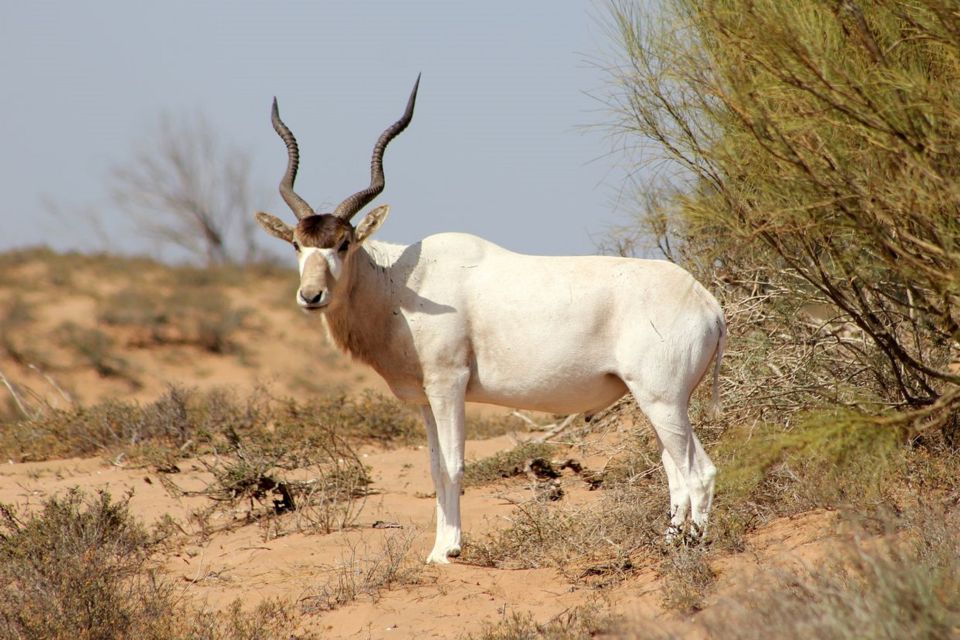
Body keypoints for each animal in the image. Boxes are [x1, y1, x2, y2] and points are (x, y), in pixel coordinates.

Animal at [255, 77, 728, 564]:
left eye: (345, 243)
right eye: (297, 244)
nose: (311, 295)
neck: (402, 282)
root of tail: (707, 302)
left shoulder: (449, 385)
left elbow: (453, 464)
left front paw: (448, 552)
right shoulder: (425, 398)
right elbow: (433, 467)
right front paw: (437, 549)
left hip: (663, 400)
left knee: (699, 470)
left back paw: (690, 548)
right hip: (655, 401)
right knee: (674, 469)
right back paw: (669, 542)